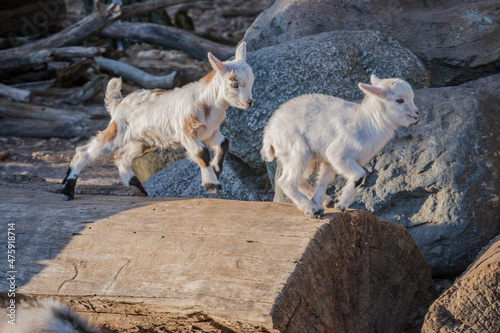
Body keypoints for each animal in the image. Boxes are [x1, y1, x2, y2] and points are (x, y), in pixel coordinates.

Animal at [61, 42, 254, 200]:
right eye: (234, 84)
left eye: (252, 81)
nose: (249, 102)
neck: (208, 102)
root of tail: (119, 102)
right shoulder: (187, 132)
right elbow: (201, 153)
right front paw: (212, 185)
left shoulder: (210, 133)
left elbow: (224, 144)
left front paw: (215, 170)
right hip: (118, 130)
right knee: (85, 151)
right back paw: (67, 191)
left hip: (141, 141)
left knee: (121, 156)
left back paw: (139, 190)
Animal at [260, 74, 420, 217]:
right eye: (399, 100)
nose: (416, 114)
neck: (368, 122)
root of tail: (268, 133)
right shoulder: (338, 154)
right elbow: (360, 175)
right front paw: (340, 205)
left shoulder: (330, 160)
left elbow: (324, 181)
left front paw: (327, 202)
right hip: (297, 151)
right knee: (286, 182)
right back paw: (311, 209)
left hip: (302, 158)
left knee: (299, 180)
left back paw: (323, 202)